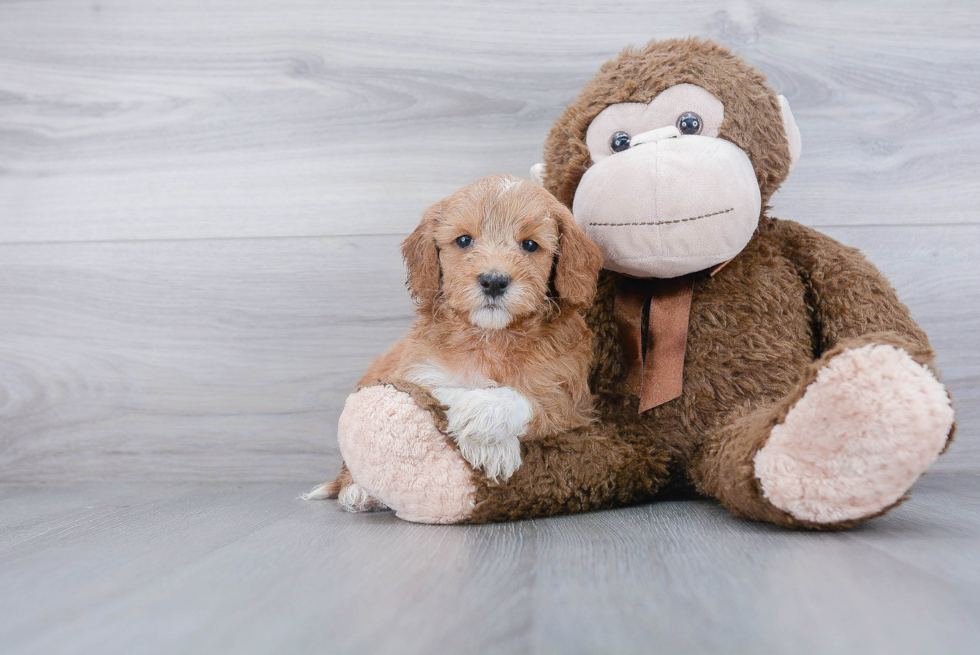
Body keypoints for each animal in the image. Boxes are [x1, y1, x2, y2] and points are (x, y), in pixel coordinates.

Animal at [306, 174, 600, 512]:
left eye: (529, 245)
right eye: (463, 241)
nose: (494, 281)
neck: (490, 337)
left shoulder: (570, 404)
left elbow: (527, 400)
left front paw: (483, 418)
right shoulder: (417, 371)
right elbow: (436, 389)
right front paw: (483, 436)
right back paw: (358, 491)